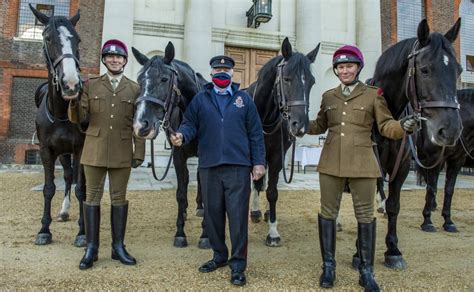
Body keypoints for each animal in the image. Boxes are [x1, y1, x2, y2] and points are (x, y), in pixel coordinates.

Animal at [131, 43, 209, 249]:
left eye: (164, 79)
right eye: (139, 80)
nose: (141, 125)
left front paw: (206, 235)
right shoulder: (178, 155)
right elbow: (181, 192)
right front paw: (180, 233)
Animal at [244, 36, 318, 246]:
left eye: (312, 82)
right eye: (287, 79)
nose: (300, 125)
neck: (264, 115)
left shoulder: (277, 154)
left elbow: (272, 191)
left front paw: (273, 232)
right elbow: (255, 182)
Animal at [368, 18, 462, 270]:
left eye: (458, 70)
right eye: (425, 69)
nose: (451, 129)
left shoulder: (401, 168)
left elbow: (394, 206)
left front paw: (393, 249)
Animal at [414, 89, 474, 233]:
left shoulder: (457, 160)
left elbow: (449, 189)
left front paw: (448, 221)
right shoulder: (436, 158)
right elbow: (432, 188)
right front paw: (427, 221)